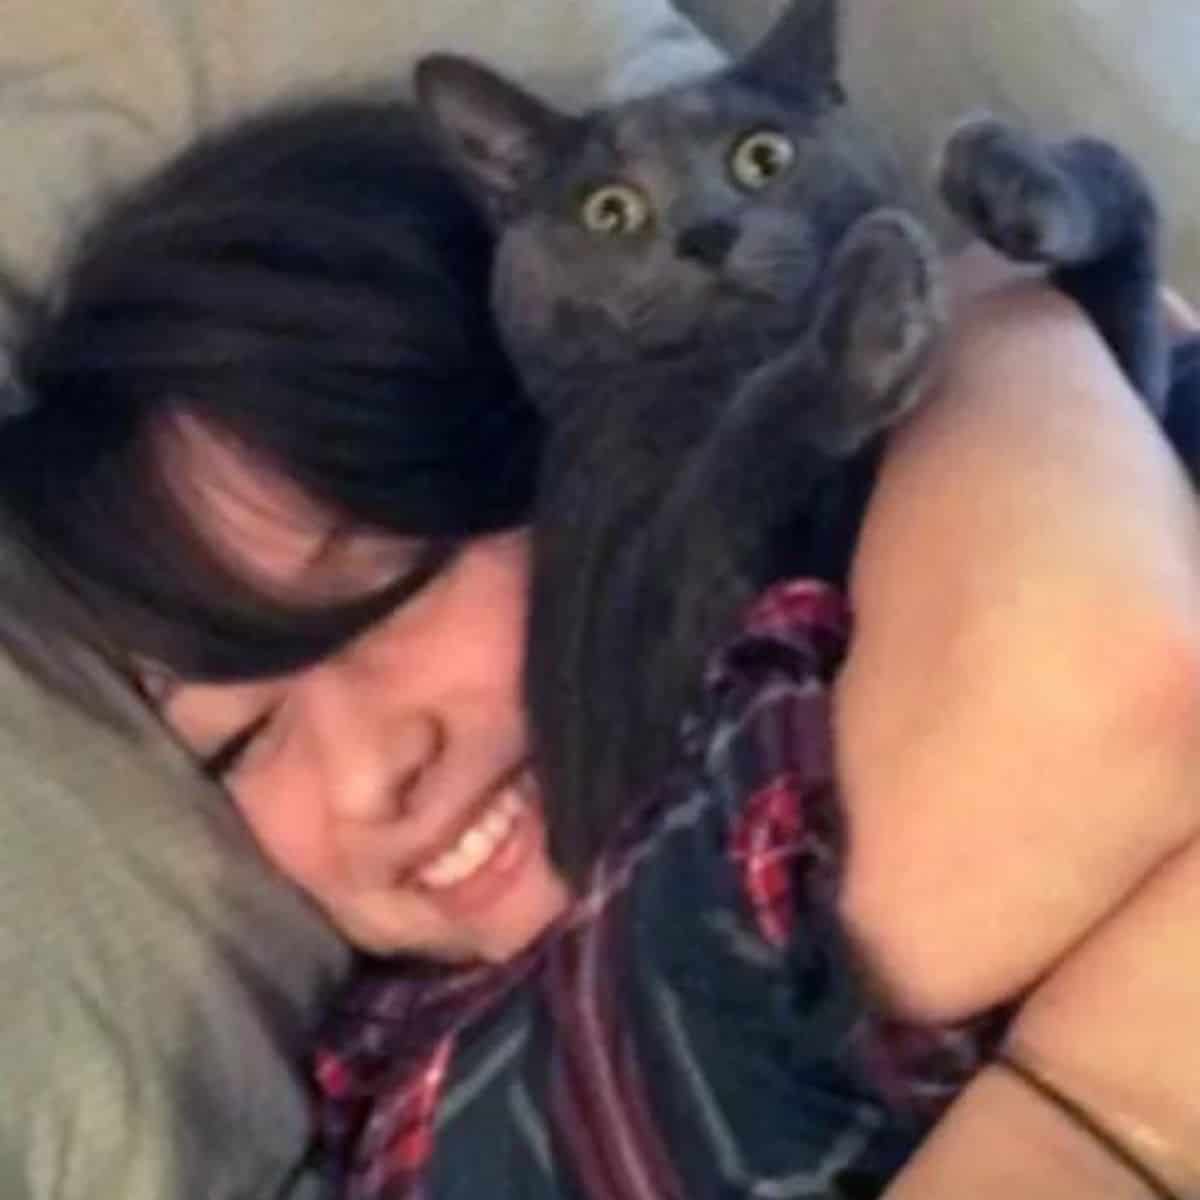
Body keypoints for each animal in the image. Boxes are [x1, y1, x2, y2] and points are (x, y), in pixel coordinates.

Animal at [415, 0, 1171, 883]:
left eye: (762, 156)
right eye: (608, 209)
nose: (707, 232)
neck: (738, 357)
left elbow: (1120, 197)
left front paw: (1011, 177)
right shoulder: (628, 760)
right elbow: (722, 481)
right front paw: (877, 299)